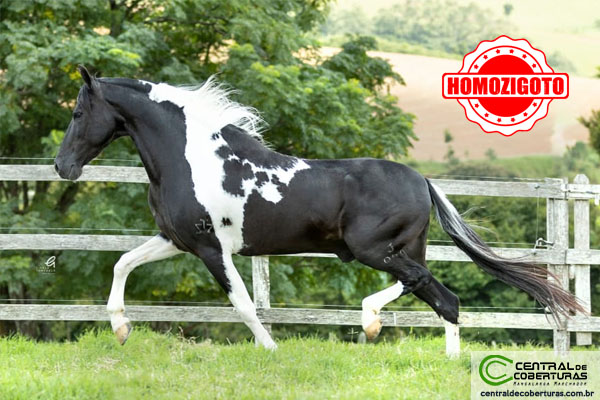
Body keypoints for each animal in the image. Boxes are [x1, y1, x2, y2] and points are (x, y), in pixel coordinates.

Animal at [55, 65, 580, 346]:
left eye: (78, 112)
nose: (62, 167)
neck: (190, 158)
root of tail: (421, 180)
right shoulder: (176, 239)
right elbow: (122, 263)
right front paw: (121, 330)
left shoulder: (211, 249)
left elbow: (243, 305)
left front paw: (270, 349)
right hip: (399, 249)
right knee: (440, 297)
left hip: (372, 248)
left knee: (425, 287)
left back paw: (370, 321)